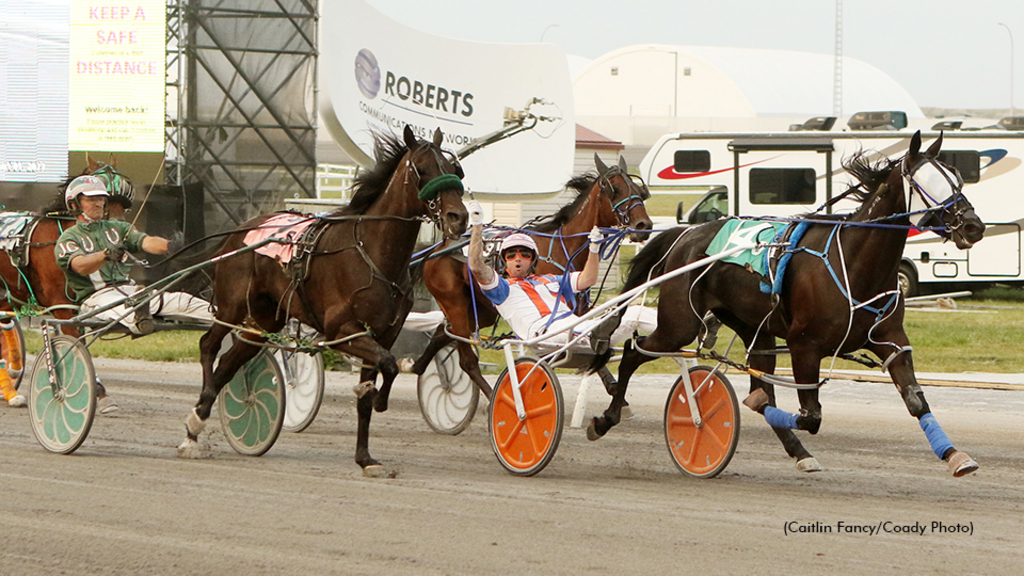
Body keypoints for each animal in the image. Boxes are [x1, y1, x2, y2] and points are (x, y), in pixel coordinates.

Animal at [405, 154, 651, 397]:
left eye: (639, 191)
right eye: (615, 189)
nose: (644, 225)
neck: (563, 248)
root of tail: (437, 249)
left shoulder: (576, 311)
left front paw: (611, 382)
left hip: (480, 310)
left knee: (441, 333)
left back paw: (416, 366)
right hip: (454, 302)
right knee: (466, 360)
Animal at [589, 131, 987, 475]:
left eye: (957, 179)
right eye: (927, 182)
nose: (973, 226)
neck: (855, 263)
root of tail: (684, 234)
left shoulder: (890, 340)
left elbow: (916, 401)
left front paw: (954, 454)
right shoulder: (803, 346)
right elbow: (810, 416)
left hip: (755, 329)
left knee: (758, 379)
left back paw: (798, 451)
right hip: (679, 324)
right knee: (632, 352)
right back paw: (606, 418)